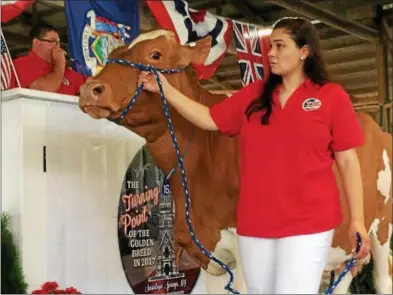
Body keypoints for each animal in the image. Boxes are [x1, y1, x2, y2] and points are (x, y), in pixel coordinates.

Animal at [78, 29, 390, 294]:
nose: (90, 89)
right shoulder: (210, 257)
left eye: (155, 54)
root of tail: (377, 126)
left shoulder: (244, 253)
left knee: (383, 278)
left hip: (383, 229)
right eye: (113, 53)